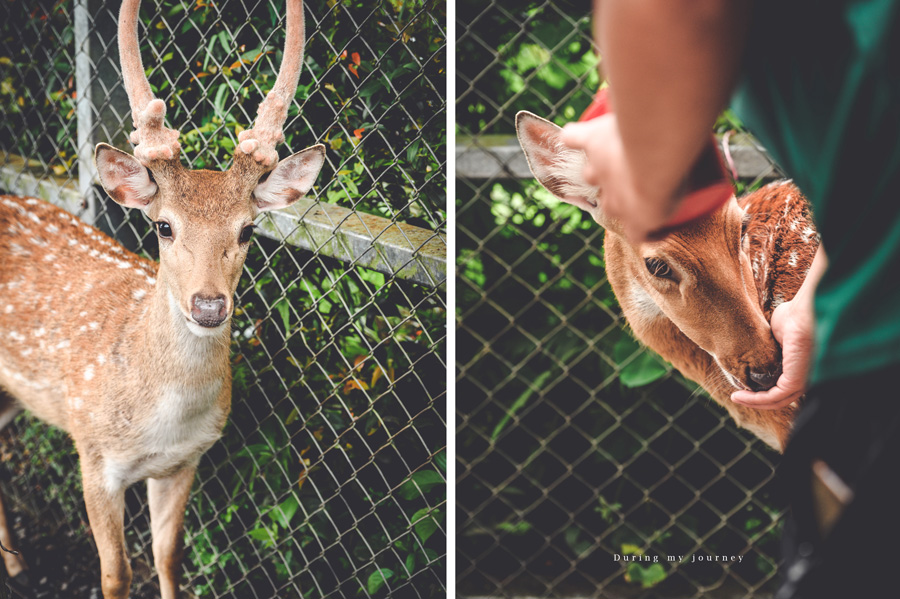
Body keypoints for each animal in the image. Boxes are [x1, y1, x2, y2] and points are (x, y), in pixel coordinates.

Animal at [0, 0, 326, 596]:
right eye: (164, 226)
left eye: (248, 230)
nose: (208, 306)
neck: (161, 420)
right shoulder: (94, 456)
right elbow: (116, 573)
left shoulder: (183, 462)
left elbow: (168, 555)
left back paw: (16, 564)